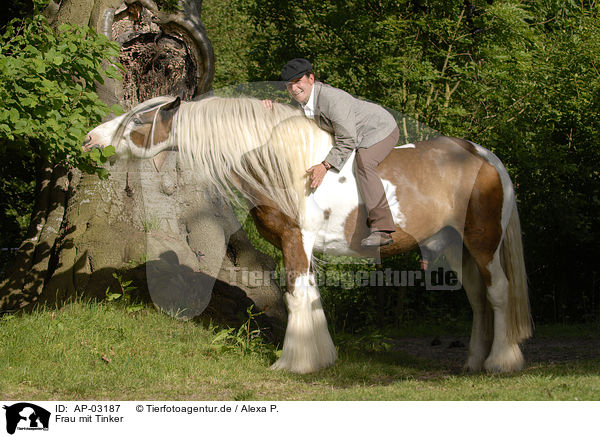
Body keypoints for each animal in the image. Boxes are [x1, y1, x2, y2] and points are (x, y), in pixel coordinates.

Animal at [85, 94, 536, 372]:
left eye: (139, 119)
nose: (90, 138)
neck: (281, 162)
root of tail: (483, 156)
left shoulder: (294, 241)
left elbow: (296, 296)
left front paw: (293, 363)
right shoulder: (300, 246)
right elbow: (311, 297)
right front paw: (320, 358)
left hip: (483, 243)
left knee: (498, 293)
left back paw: (500, 363)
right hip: (455, 247)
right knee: (478, 301)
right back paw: (473, 363)